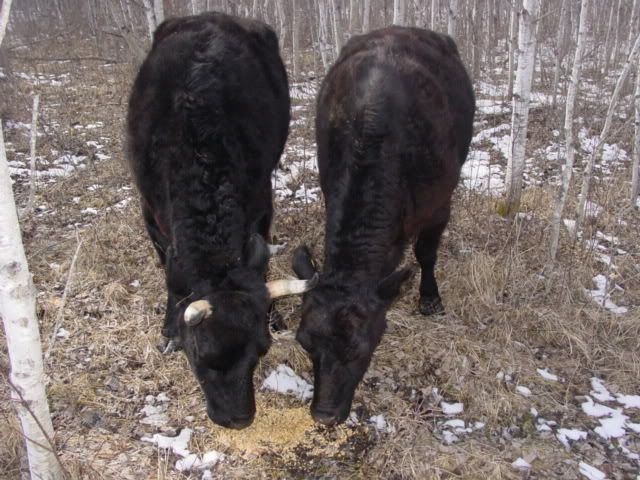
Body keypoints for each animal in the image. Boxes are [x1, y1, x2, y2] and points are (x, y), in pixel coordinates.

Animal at [126, 12, 315, 429]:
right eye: (199, 355)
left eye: (261, 350)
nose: (238, 419)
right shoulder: (151, 214)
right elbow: (171, 277)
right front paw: (168, 330)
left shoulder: (261, 201)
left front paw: (275, 318)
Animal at [292, 27, 475, 425]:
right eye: (304, 342)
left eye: (361, 349)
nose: (324, 414)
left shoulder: (440, 203)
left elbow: (426, 253)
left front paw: (430, 298)